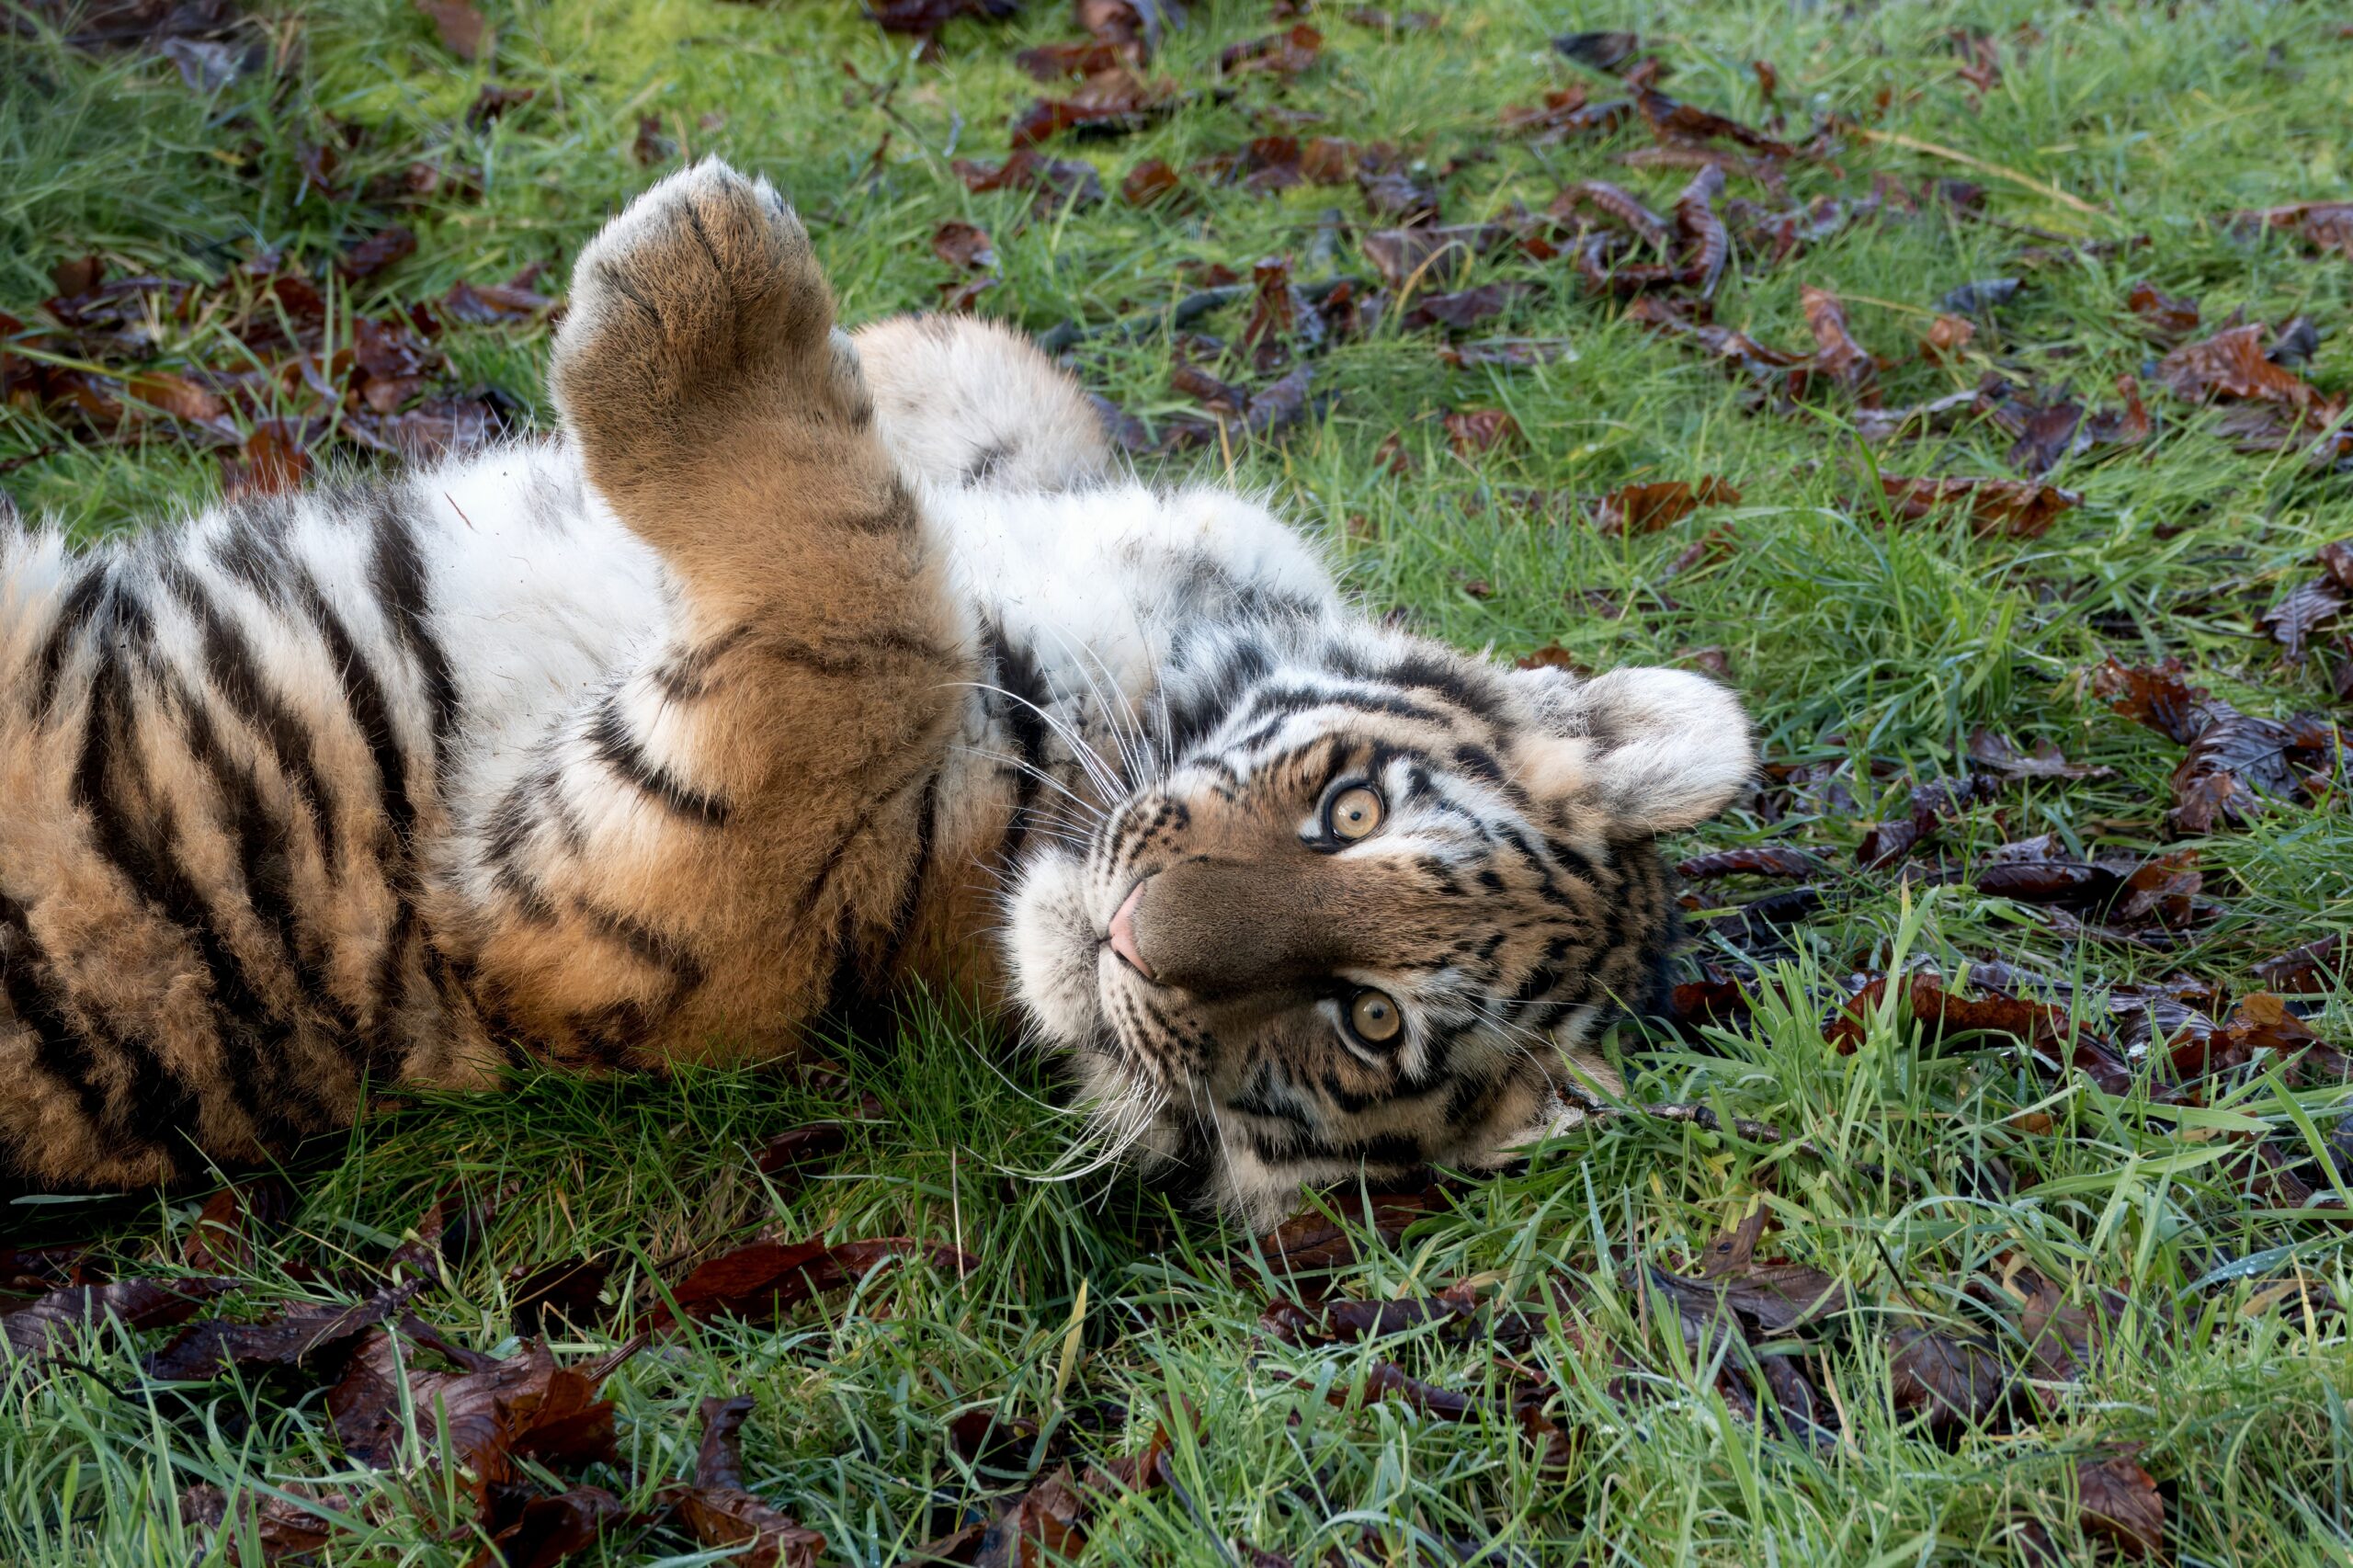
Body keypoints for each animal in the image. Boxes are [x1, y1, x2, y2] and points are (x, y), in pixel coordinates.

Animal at [0, 160, 1753, 1224]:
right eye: (1350, 808)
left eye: (1366, 1024)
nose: (1139, 937)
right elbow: (991, 414)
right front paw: (849, 332)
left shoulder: (605, 934)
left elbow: (871, 630)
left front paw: (698, 295)